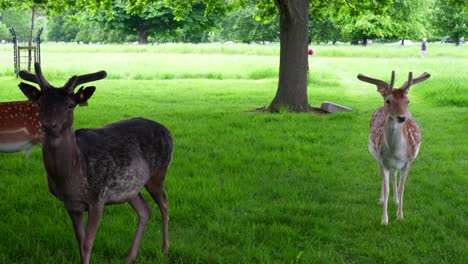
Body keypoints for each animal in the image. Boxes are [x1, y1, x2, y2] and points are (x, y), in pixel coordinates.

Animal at [16, 63, 174, 262]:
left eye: (70, 105)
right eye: (39, 104)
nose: (49, 126)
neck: (73, 174)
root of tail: (167, 131)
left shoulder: (98, 198)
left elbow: (87, 243)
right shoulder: (72, 205)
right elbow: (80, 241)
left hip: (159, 173)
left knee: (164, 203)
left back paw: (165, 248)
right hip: (130, 188)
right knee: (145, 210)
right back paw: (130, 257)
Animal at [358, 70, 432, 225]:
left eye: (407, 101)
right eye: (388, 100)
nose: (402, 117)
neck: (394, 152)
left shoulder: (408, 162)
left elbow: (402, 188)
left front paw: (400, 215)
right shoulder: (383, 161)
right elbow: (386, 189)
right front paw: (384, 219)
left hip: (397, 164)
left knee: (394, 175)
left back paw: (396, 201)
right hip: (377, 157)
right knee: (385, 177)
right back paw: (381, 199)